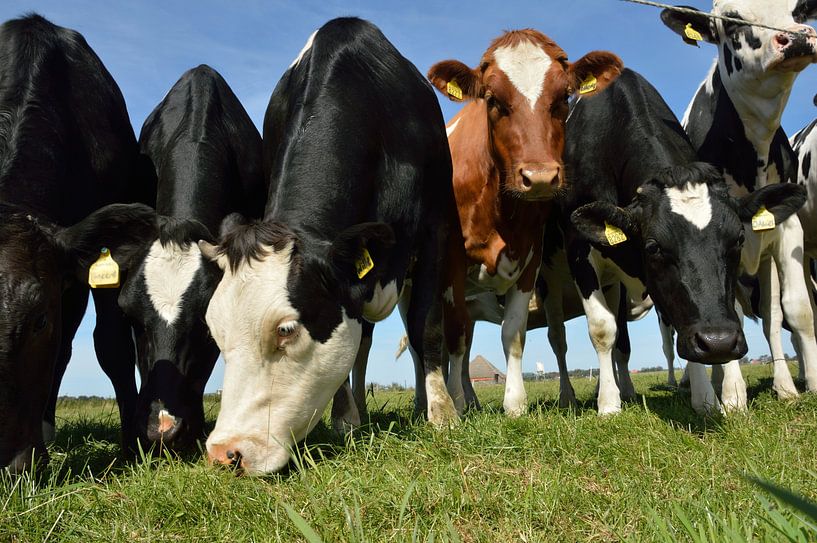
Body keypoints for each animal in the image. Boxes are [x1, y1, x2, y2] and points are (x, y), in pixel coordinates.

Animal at [200, 17, 456, 475]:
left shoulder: (434, 230)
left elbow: (426, 328)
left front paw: (442, 415)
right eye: (215, 332)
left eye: (286, 330)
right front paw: (345, 419)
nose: (224, 453)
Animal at [425, 30, 623, 417]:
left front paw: (514, 403)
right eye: (492, 99)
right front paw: (455, 403)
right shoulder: (452, 262)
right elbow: (455, 336)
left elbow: (513, 333)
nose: (541, 177)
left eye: (563, 97)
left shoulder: (530, 256)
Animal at [562, 68, 806, 415]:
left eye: (738, 239)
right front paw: (608, 403)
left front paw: (706, 398)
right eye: (653, 247)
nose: (719, 342)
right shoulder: (577, 248)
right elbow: (602, 328)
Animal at [660, 0, 817, 412]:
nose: (796, 37)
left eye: (798, 12)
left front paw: (802, 384)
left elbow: (796, 311)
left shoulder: (787, 225)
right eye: (731, 20)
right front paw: (732, 395)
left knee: (771, 319)